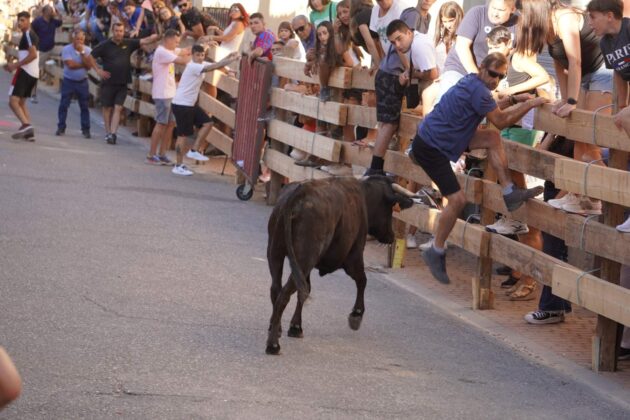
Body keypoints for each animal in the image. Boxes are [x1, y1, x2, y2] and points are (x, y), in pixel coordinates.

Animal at [266, 176, 414, 356]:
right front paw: (356, 315)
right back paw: (273, 344)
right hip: (303, 258)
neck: (363, 195)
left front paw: (296, 326)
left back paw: (275, 327)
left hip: (276, 253)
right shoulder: (353, 257)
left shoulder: (305, 268)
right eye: (390, 209)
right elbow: (362, 280)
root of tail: (299, 192)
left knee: (277, 289)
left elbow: (305, 291)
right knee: (284, 295)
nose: (391, 236)